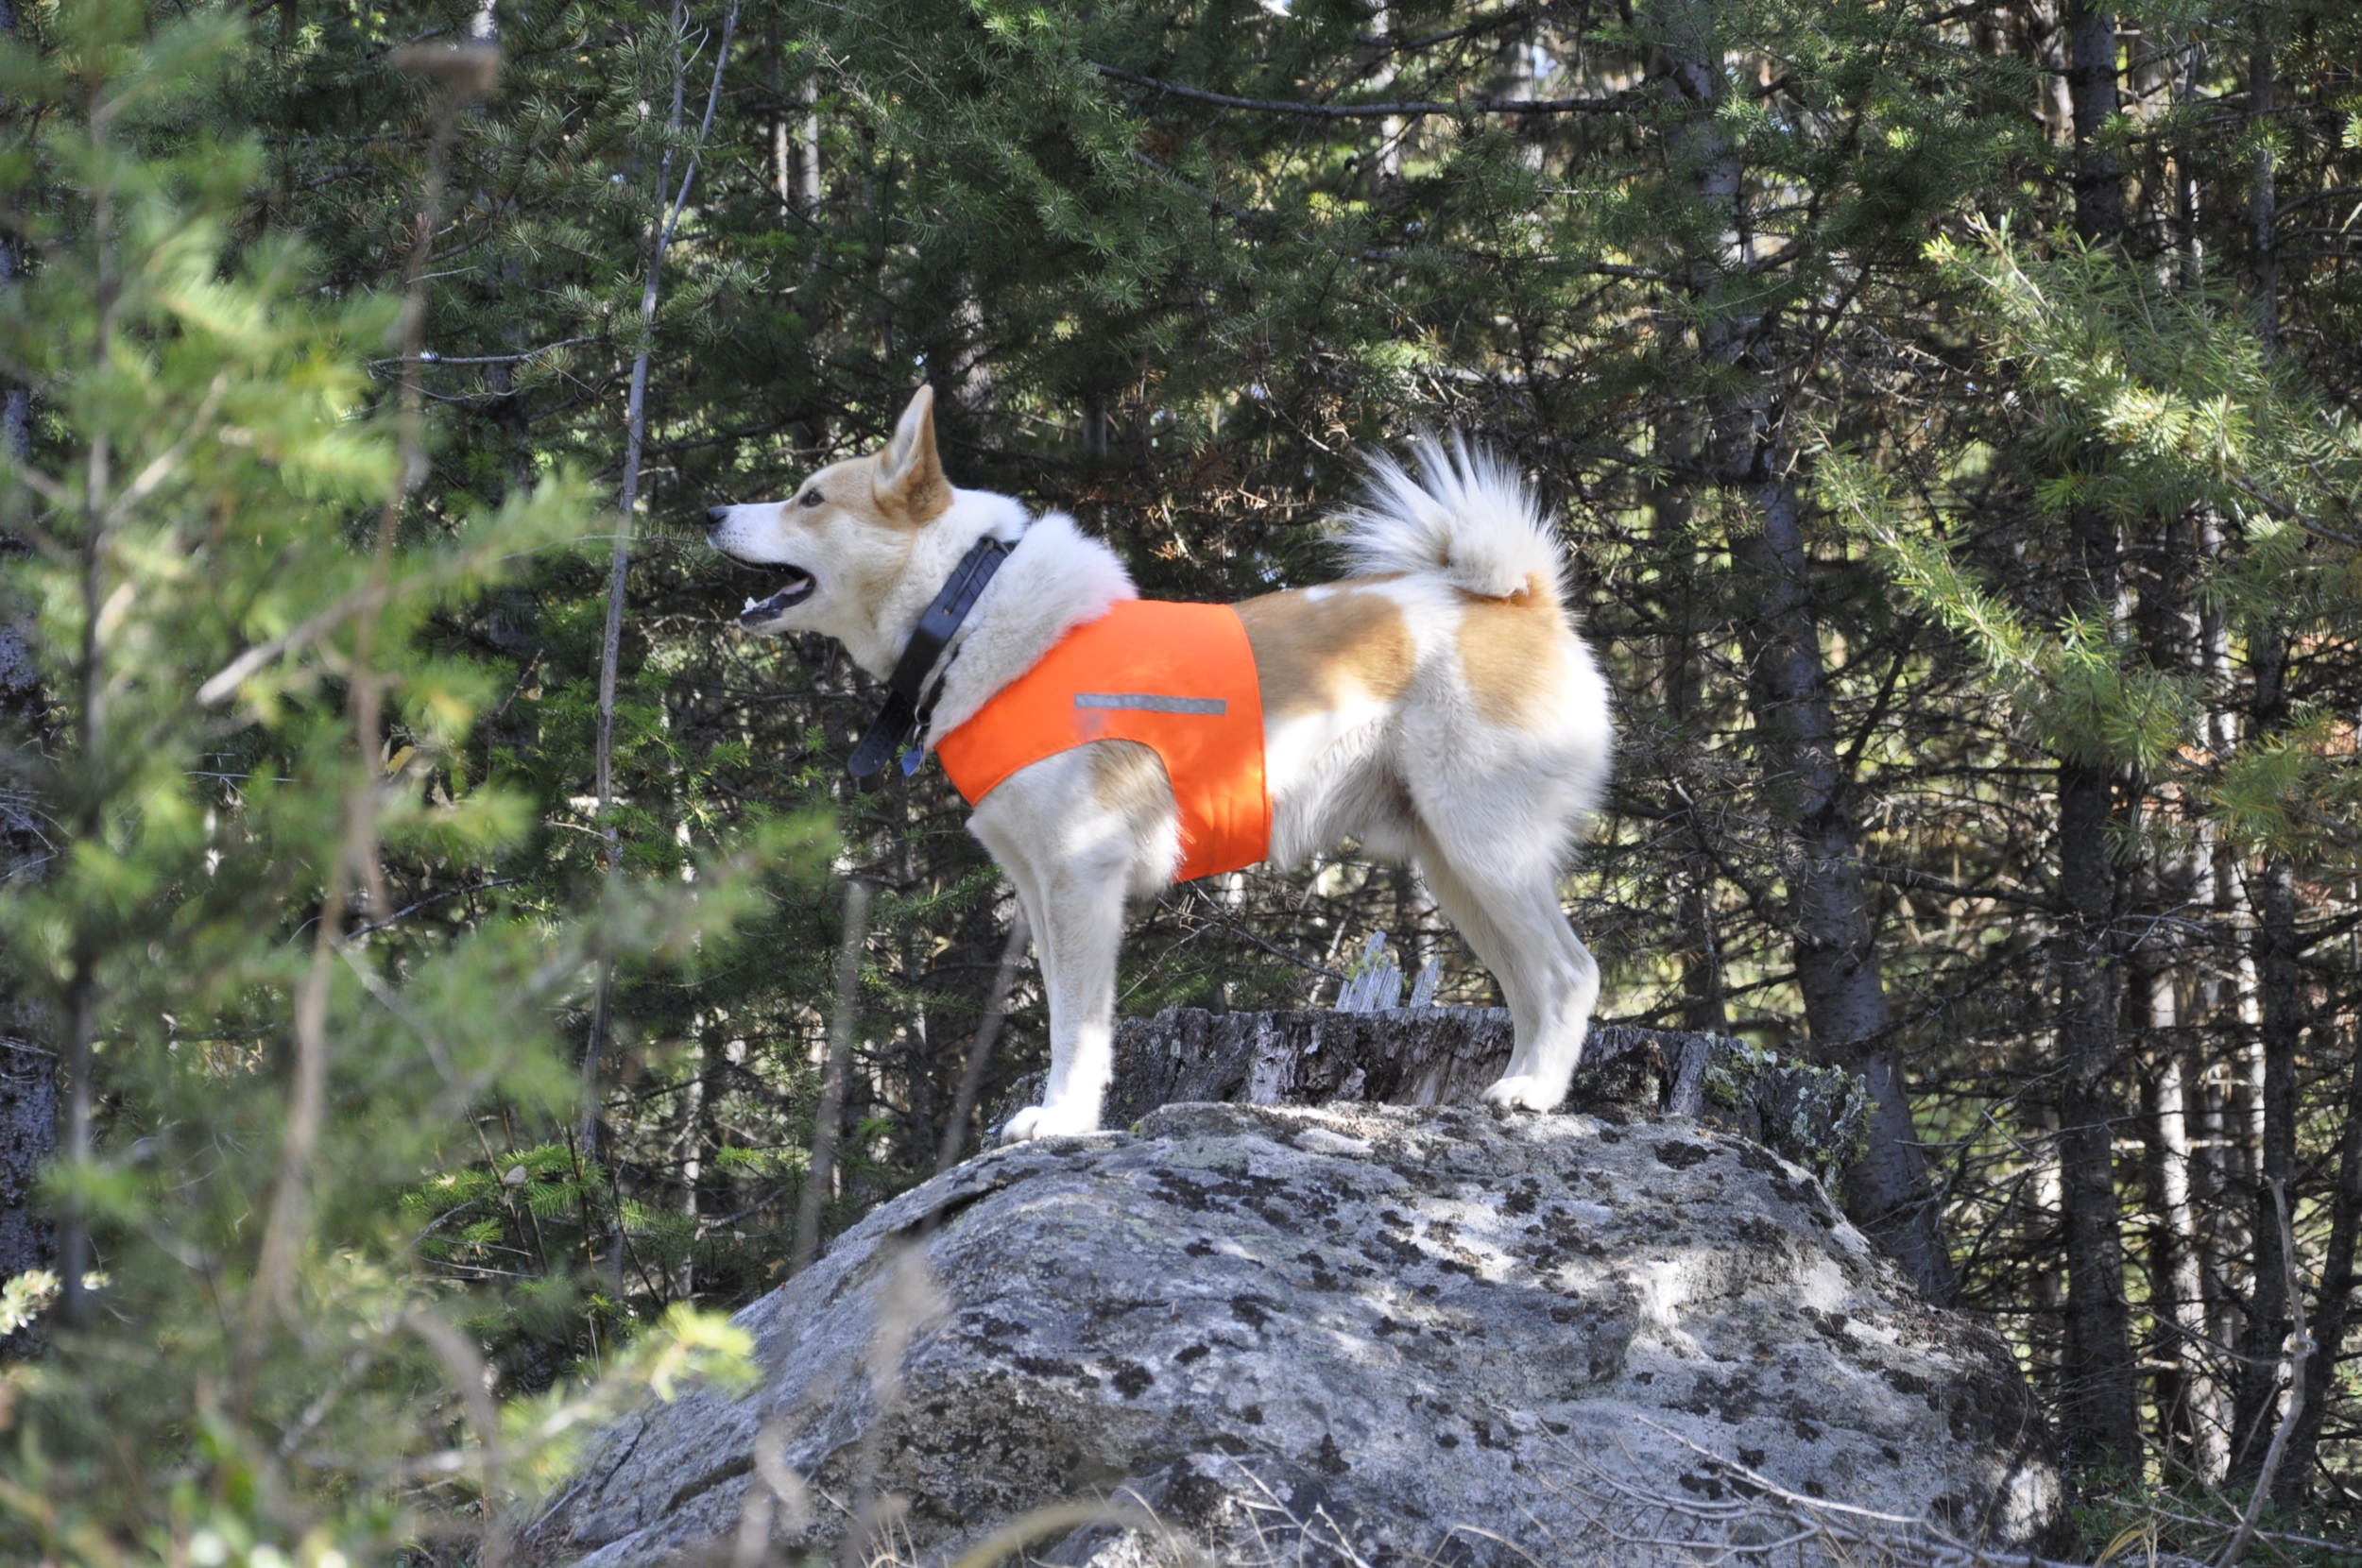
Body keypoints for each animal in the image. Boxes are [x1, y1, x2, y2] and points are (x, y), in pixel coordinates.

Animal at [709, 384, 1616, 1133]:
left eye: (810, 498)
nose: (712, 512)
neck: (966, 605)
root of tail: (1519, 598)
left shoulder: (1082, 877)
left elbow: (1079, 1028)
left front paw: (1065, 1120)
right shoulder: (1040, 889)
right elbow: (1062, 1021)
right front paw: (1060, 1110)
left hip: (1485, 848)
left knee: (1569, 973)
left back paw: (1537, 1093)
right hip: (1456, 869)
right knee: (1529, 988)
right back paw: (1516, 1084)